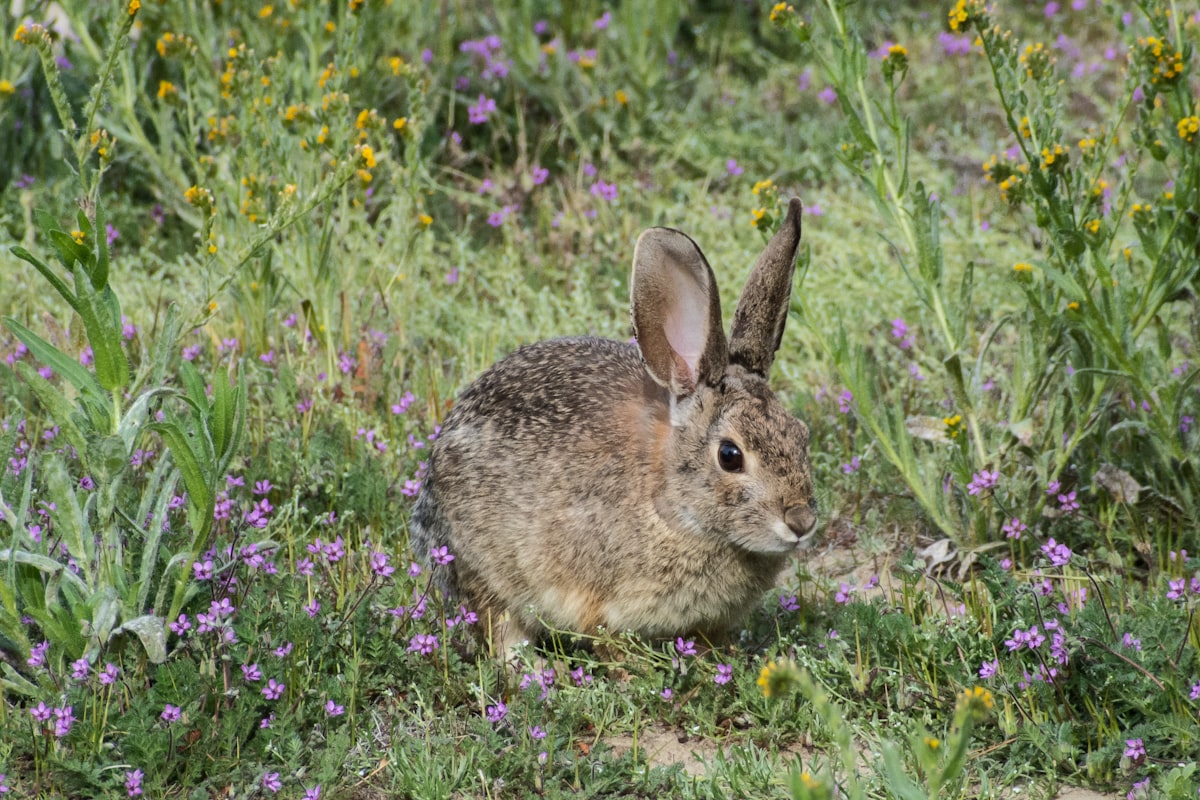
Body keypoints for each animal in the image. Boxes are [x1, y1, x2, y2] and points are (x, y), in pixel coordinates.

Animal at [412, 196, 816, 652]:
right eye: (730, 456)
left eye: (801, 435)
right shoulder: (604, 605)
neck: (671, 506)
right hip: (484, 572)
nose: (801, 522)